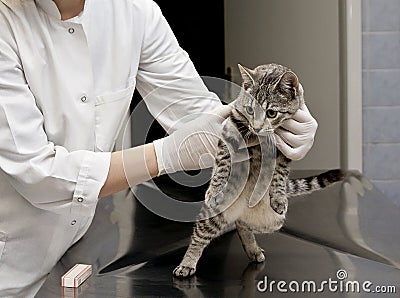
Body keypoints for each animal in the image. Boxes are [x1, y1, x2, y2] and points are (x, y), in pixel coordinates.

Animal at [173, 64, 344, 278]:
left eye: (271, 113)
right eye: (249, 110)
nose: (257, 127)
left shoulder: (286, 147)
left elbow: (280, 173)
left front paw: (278, 196)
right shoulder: (229, 130)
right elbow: (223, 164)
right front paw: (215, 189)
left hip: (274, 221)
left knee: (242, 224)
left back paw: (253, 248)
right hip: (215, 215)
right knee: (200, 235)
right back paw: (187, 262)